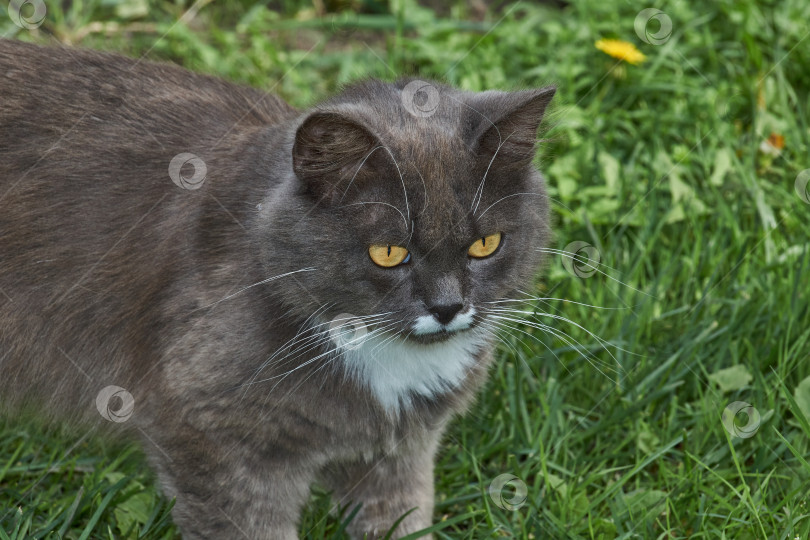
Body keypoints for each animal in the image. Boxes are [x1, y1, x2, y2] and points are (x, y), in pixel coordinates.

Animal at [0, 40, 552, 536]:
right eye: (389, 253)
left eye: (486, 244)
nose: (447, 305)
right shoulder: (215, 436)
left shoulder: (400, 450)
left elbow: (401, 516)